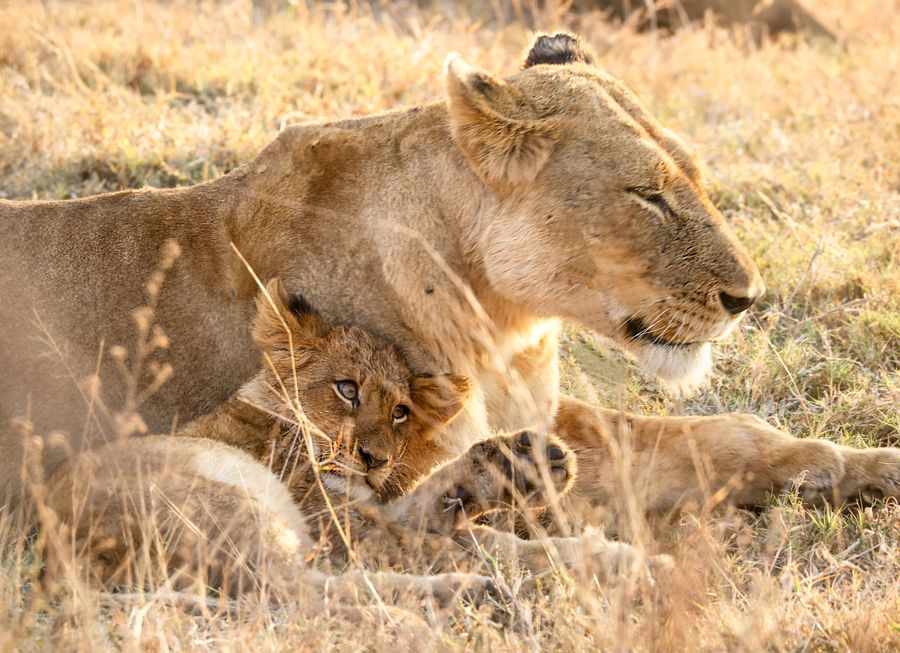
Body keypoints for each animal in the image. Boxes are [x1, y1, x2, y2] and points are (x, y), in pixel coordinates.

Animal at [2, 33, 897, 521]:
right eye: (646, 195)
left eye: (698, 178)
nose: (748, 298)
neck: (506, 319)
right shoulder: (414, 459)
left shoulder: (539, 415)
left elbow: (718, 435)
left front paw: (863, 467)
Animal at [43, 280, 665, 602]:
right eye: (346, 389)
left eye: (400, 412)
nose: (374, 459)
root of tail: (62, 560)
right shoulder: (333, 514)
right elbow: (431, 534)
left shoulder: (365, 506)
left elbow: (496, 533)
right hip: (227, 505)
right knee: (299, 593)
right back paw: (465, 593)